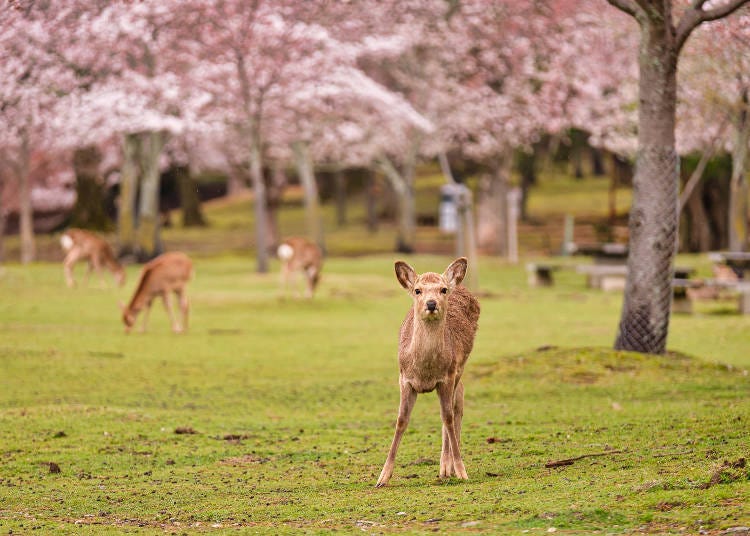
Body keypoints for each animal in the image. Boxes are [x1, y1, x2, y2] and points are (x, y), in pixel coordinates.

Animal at [376, 258, 482, 488]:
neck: (425, 371)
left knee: (456, 408)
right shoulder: (404, 379)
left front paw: (461, 471)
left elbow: (447, 417)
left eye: (442, 290)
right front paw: (382, 477)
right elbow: (401, 420)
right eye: (418, 290)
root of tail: (460, 285)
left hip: (459, 370)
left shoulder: (447, 377)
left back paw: (446, 468)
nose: (431, 304)